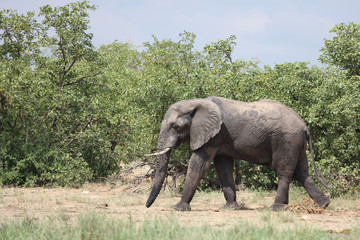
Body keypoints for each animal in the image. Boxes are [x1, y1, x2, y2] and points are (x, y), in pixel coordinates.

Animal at [144, 96, 330, 211]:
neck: (196, 103)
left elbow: (198, 164)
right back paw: (323, 205)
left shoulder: (214, 136)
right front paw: (230, 208)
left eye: (175, 126)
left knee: (283, 171)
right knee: (302, 172)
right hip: (296, 143)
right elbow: (223, 166)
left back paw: (276, 208)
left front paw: (178, 208)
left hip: (286, 140)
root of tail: (304, 126)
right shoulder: (220, 139)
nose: (147, 206)